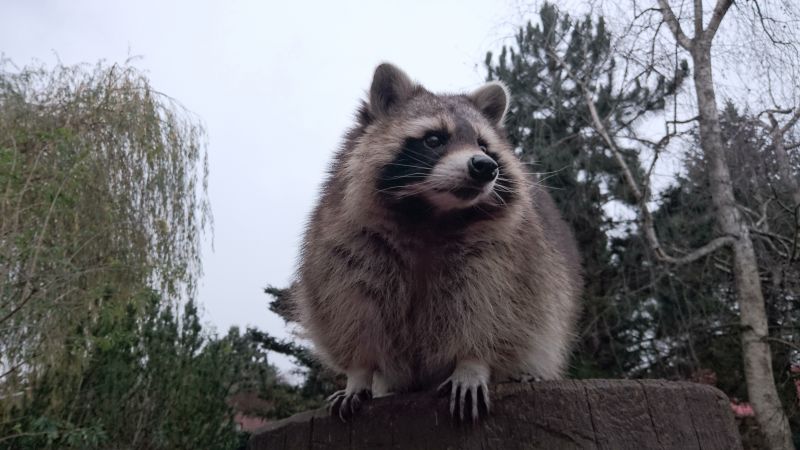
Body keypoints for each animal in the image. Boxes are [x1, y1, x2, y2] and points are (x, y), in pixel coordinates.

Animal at [290, 63, 581, 422]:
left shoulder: (509, 256)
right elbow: (350, 310)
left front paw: (471, 364)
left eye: (484, 145)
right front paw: (358, 373)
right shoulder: (344, 242)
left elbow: (495, 311)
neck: (433, 213)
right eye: (434, 139)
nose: (485, 167)